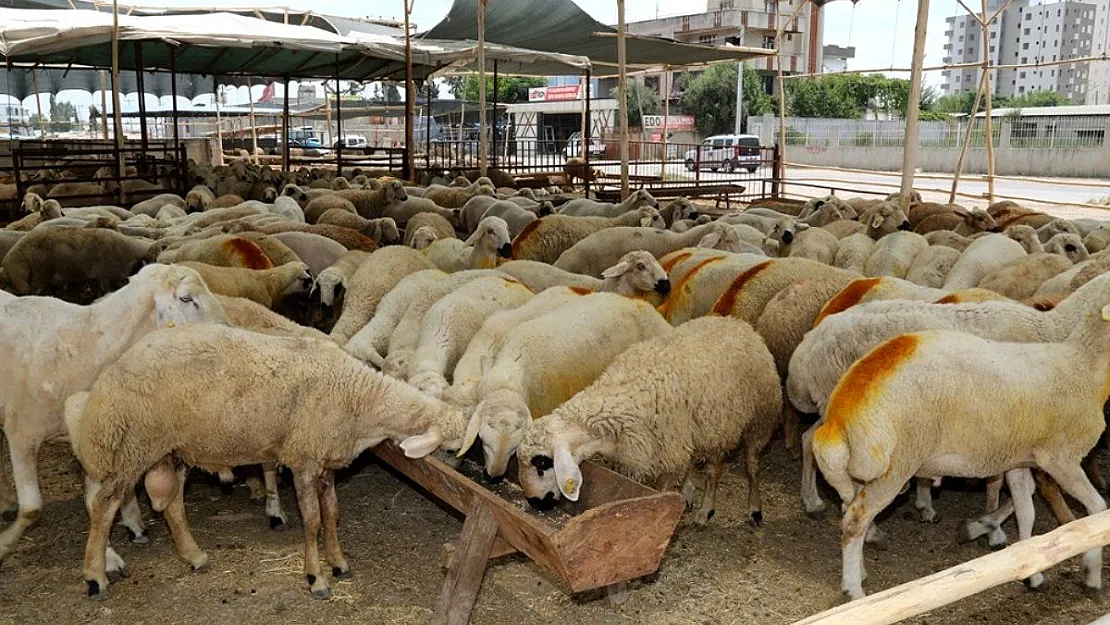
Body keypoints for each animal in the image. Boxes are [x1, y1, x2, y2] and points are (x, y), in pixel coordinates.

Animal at [0, 264, 226, 572]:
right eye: (186, 298)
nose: (228, 332)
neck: (87, 346)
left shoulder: (88, 437)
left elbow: (95, 500)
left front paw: (106, 557)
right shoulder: (21, 434)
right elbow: (33, 508)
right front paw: (4, 544)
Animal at [67, 326, 468, 599]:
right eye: (452, 448)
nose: (463, 480)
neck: (359, 397)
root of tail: (112, 373)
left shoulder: (324, 462)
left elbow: (332, 513)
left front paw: (338, 562)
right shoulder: (304, 459)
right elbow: (313, 520)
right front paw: (316, 578)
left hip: (174, 449)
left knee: (172, 505)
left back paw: (194, 556)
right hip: (134, 445)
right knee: (104, 505)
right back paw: (95, 576)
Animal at [512, 319, 781, 526]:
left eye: (543, 462)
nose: (535, 502)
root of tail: (740, 323)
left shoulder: (668, 454)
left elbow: (659, 494)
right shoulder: (634, 459)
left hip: (759, 421)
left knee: (748, 467)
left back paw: (750, 509)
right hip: (713, 428)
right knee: (714, 469)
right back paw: (703, 507)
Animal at [812, 310, 1110, 599]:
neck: (1084, 365)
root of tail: (839, 413)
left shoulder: (1020, 459)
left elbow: (1027, 512)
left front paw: (1032, 573)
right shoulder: (1060, 458)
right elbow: (1097, 510)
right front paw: (1092, 576)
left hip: (863, 472)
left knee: (847, 511)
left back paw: (859, 572)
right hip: (893, 467)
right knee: (855, 519)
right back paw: (854, 589)